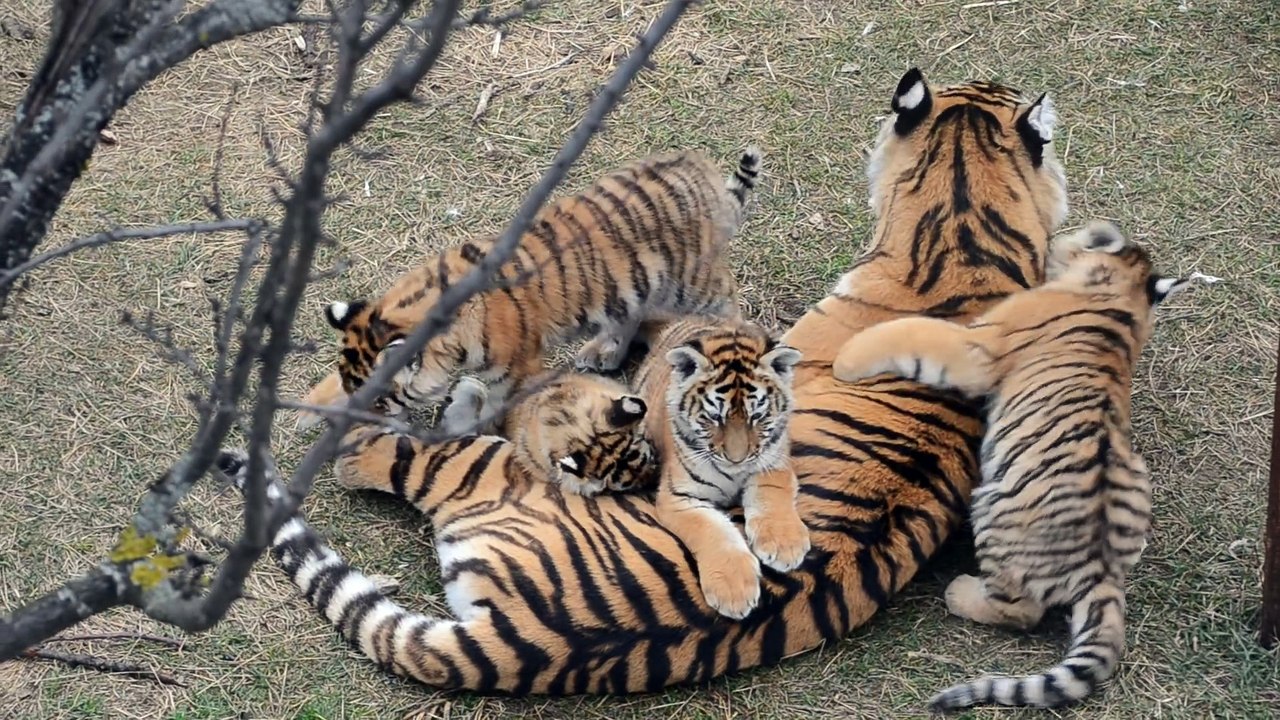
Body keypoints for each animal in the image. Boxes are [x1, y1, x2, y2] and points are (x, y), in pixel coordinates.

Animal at [295, 146, 763, 433]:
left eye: (379, 402)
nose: (363, 423)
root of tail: (702, 174)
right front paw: (311, 406)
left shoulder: (515, 369)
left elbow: (496, 405)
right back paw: (604, 352)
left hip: (694, 284)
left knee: (729, 302)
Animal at [634, 315, 805, 619]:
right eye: (714, 417)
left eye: (757, 416)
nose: (736, 459)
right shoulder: (679, 498)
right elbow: (713, 531)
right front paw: (734, 591)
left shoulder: (773, 465)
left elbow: (770, 498)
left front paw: (785, 546)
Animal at [831, 220, 1188, 711]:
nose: (1057, 241)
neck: (1122, 301)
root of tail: (1102, 572)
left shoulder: (977, 347)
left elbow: (912, 331)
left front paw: (844, 360)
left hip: (994, 515)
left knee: (1019, 611)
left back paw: (960, 591)